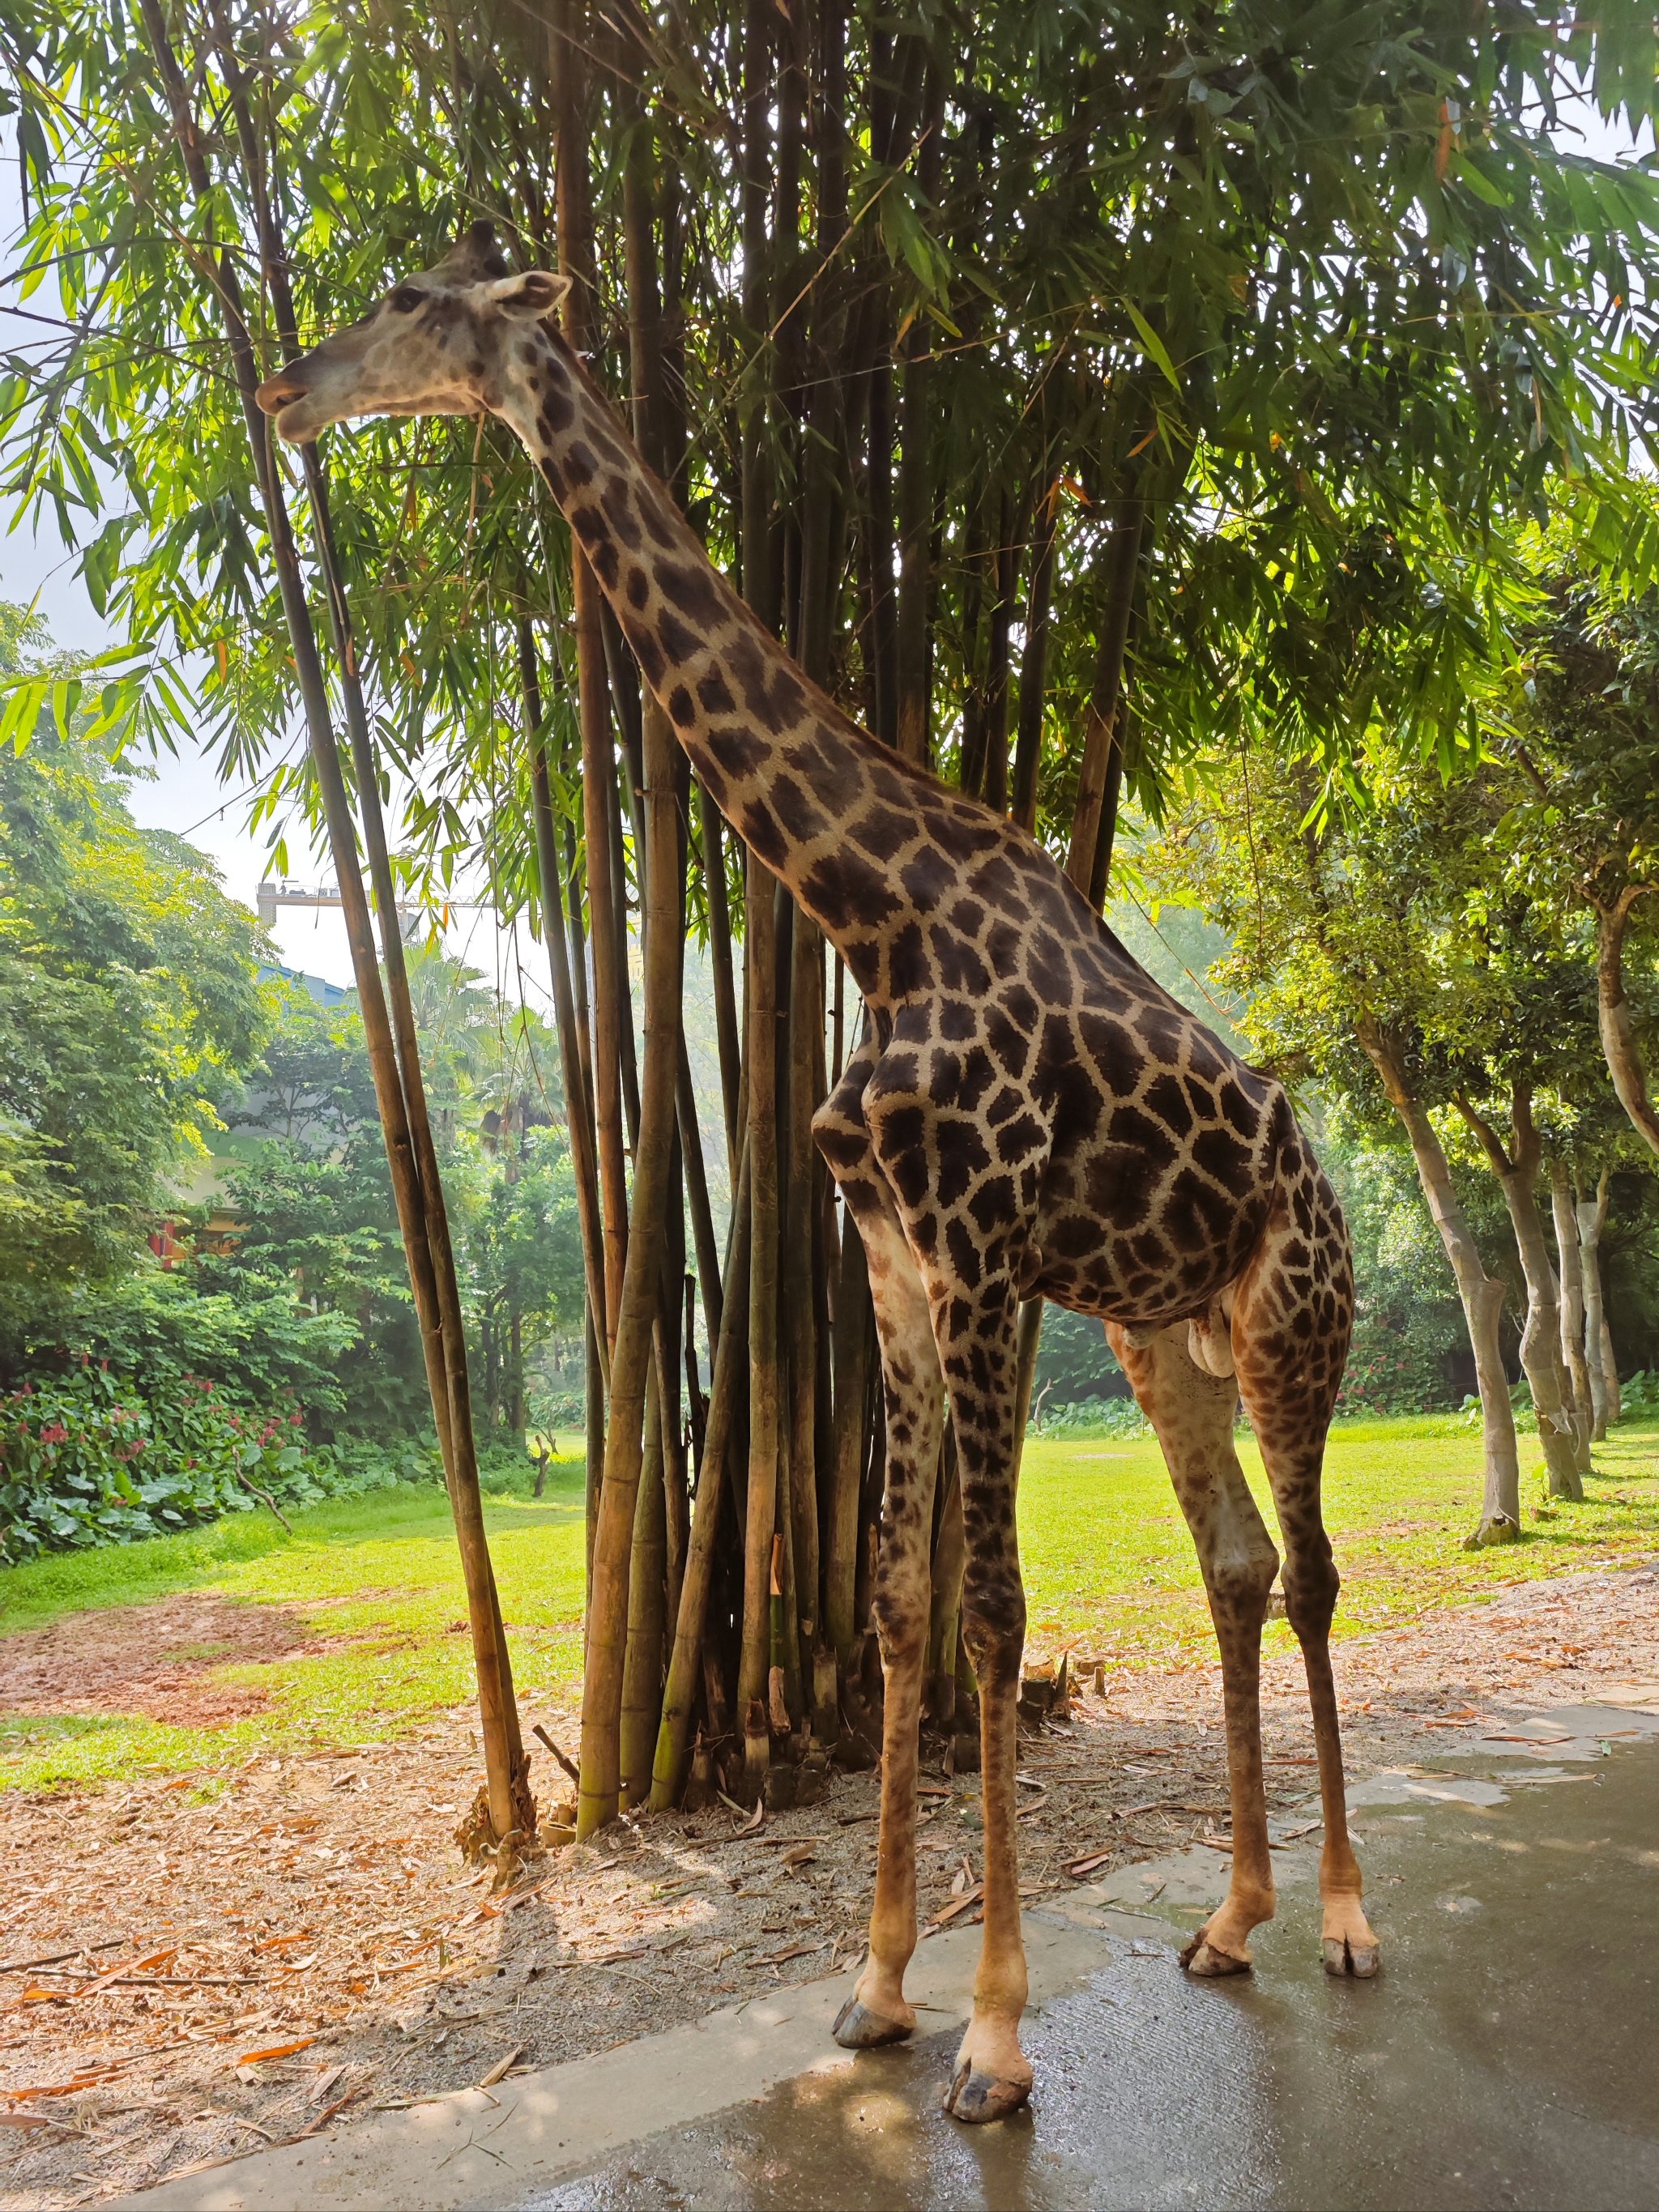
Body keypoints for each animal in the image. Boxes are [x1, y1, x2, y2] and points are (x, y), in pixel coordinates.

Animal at [256, 228, 1380, 2123]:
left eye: (412, 302)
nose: (280, 384)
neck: (875, 905)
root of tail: (1330, 1202)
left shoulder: (983, 1254)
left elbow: (995, 1616)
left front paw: (993, 2038)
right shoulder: (897, 1265)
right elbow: (902, 1605)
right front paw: (873, 1989)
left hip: (1295, 1322)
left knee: (1307, 1573)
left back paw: (1354, 1922)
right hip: (1161, 1337)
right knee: (1233, 1567)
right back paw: (1232, 1920)